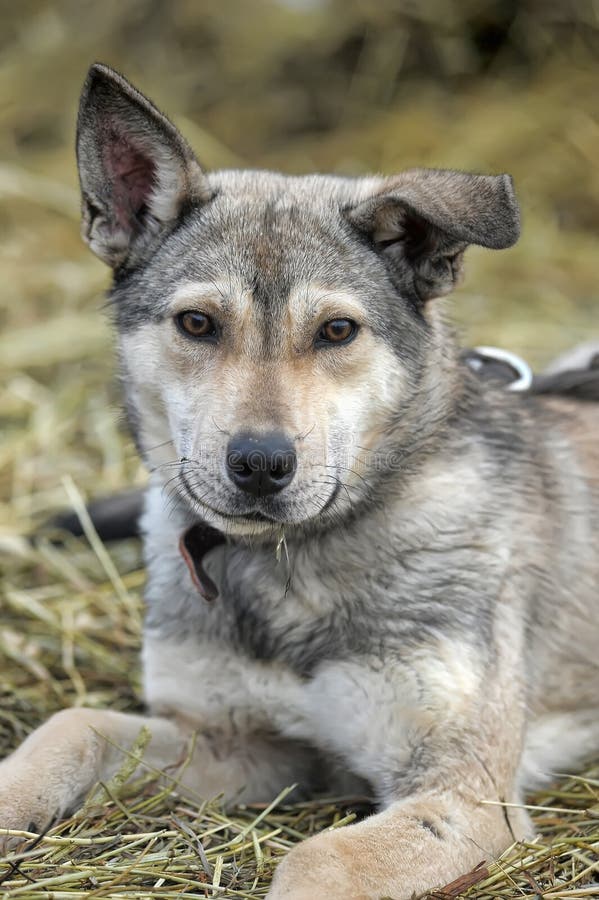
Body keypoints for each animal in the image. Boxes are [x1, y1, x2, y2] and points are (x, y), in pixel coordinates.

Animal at [1, 63, 599, 900]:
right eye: (195, 324)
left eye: (336, 331)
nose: (259, 464)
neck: (291, 563)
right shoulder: (251, 744)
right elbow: (74, 724)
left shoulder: (461, 793)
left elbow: (320, 859)